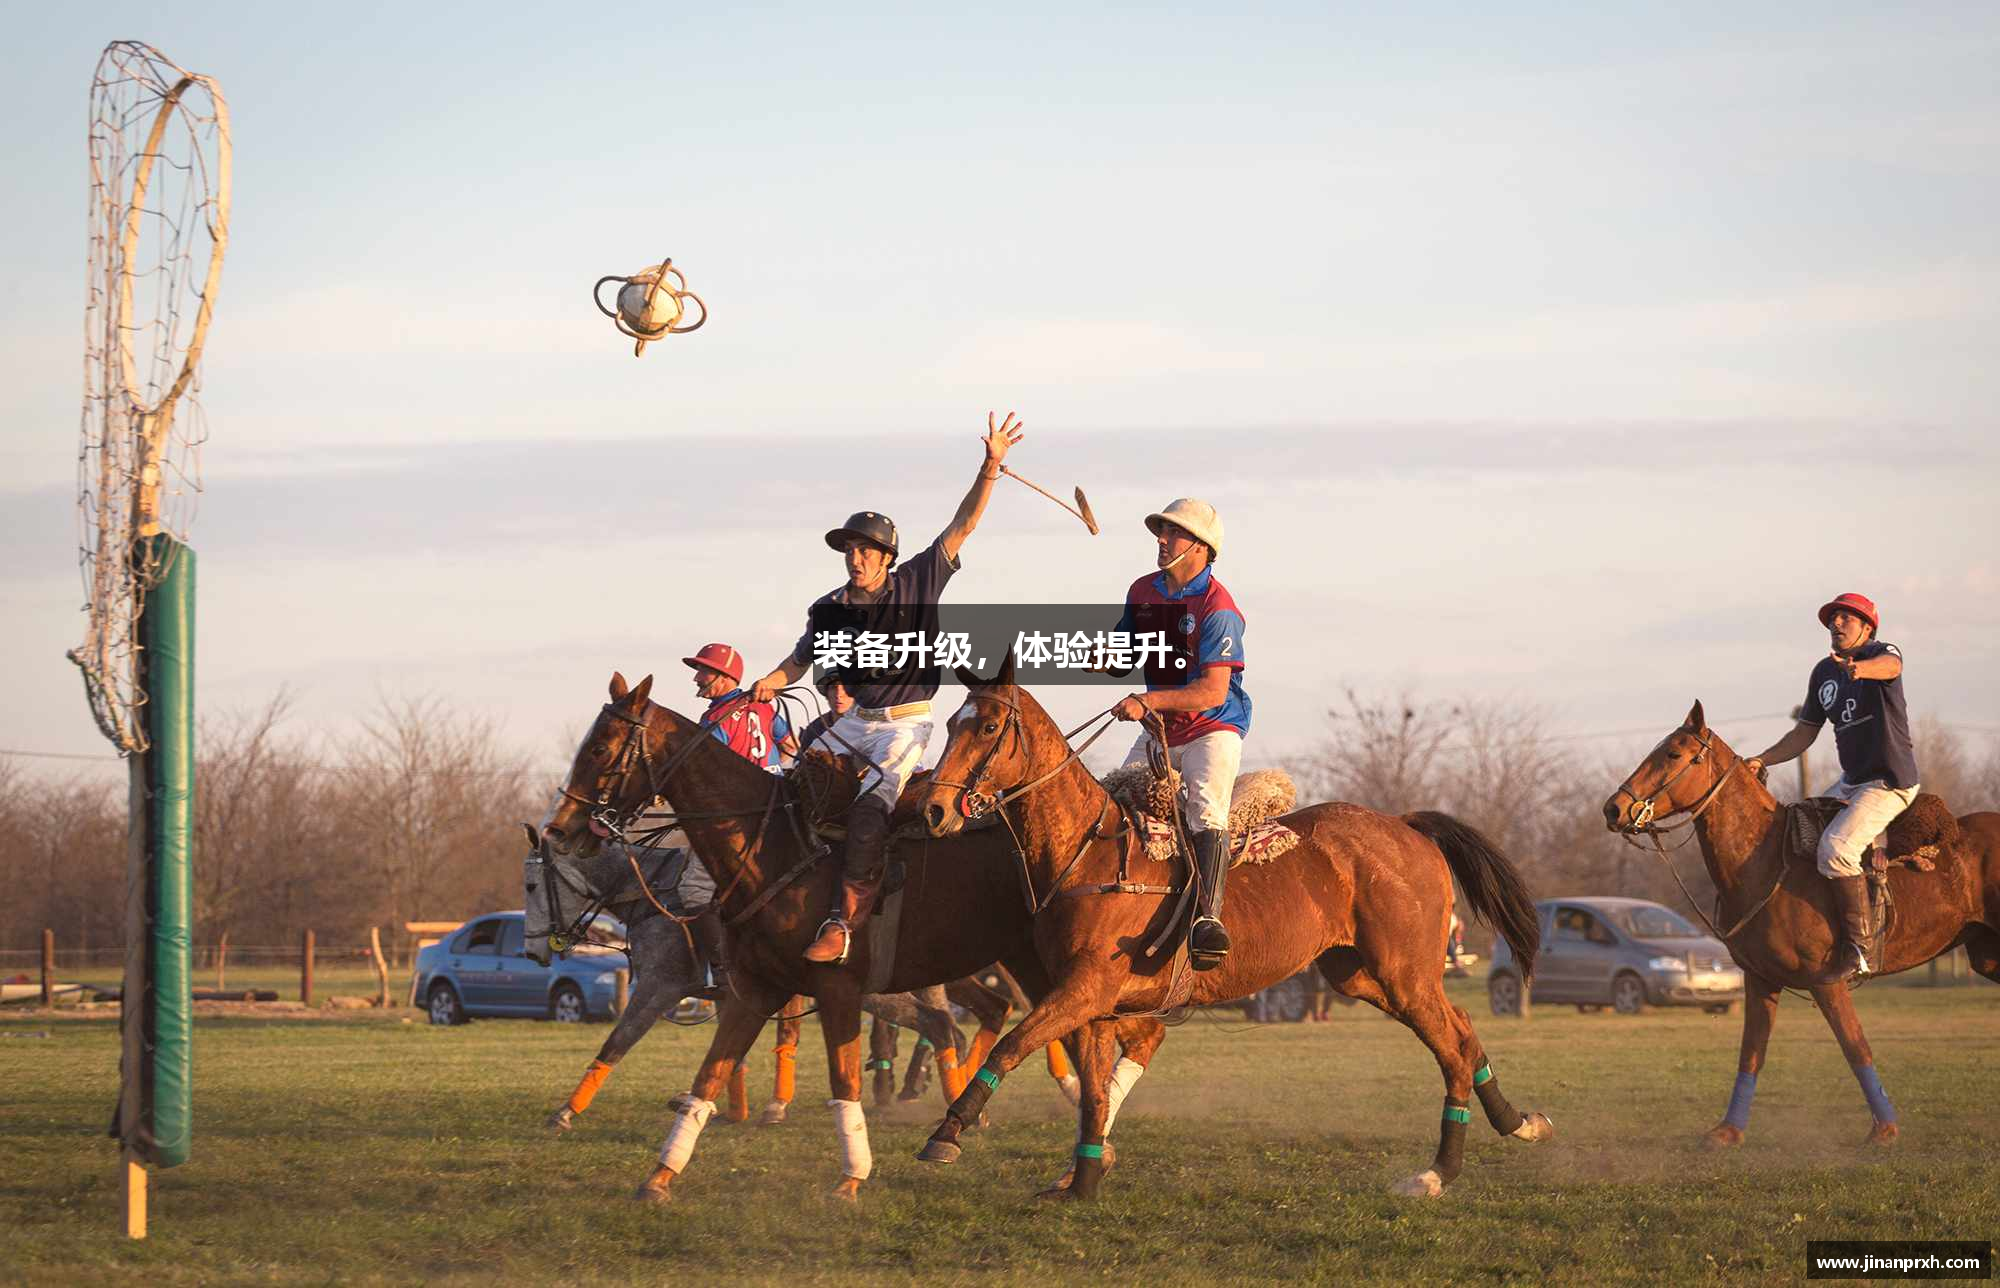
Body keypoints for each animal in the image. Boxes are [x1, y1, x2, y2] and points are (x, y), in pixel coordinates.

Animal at [532, 680, 1168, 1200]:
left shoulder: (824, 986)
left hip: (1057, 971)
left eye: (600, 750)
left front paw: (851, 1176)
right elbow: (708, 1075)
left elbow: (840, 1082)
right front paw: (661, 1175)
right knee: (1098, 1032)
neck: (771, 850)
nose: (562, 829)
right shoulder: (754, 989)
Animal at [916, 664, 1552, 1200]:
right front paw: (1082, 1182)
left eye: (988, 726)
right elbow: (1093, 1094)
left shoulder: (1085, 990)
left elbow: (1013, 1045)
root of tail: (1406, 824)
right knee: (1462, 1030)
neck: (1087, 852)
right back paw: (1518, 1123)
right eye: (949, 724)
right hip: (1359, 975)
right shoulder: (1091, 1005)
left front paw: (947, 1134)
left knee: (1452, 1047)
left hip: (1404, 973)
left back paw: (1438, 1172)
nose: (934, 812)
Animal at [1600, 704, 2000, 1144]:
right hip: (1987, 956)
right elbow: (1752, 1053)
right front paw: (1728, 1132)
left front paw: (1884, 1129)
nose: (1613, 809)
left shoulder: (1827, 982)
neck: (1765, 862)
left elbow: (1855, 1046)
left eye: (1673, 753)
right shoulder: (1760, 980)